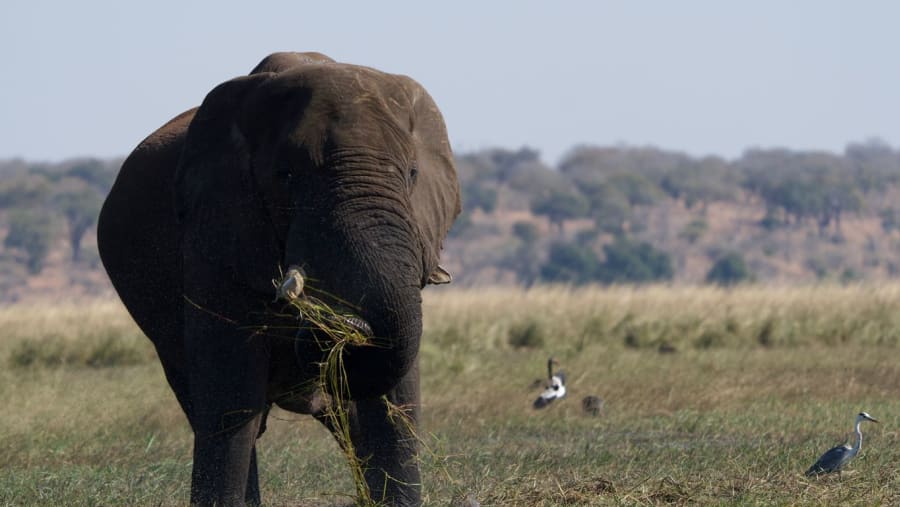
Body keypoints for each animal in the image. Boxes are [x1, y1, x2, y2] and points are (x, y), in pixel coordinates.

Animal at [97, 51, 461, 506]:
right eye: (287, 176)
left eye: (412, 174)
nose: (341, 324)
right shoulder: (214, 237)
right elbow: (230, 398)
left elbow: (394, 408)